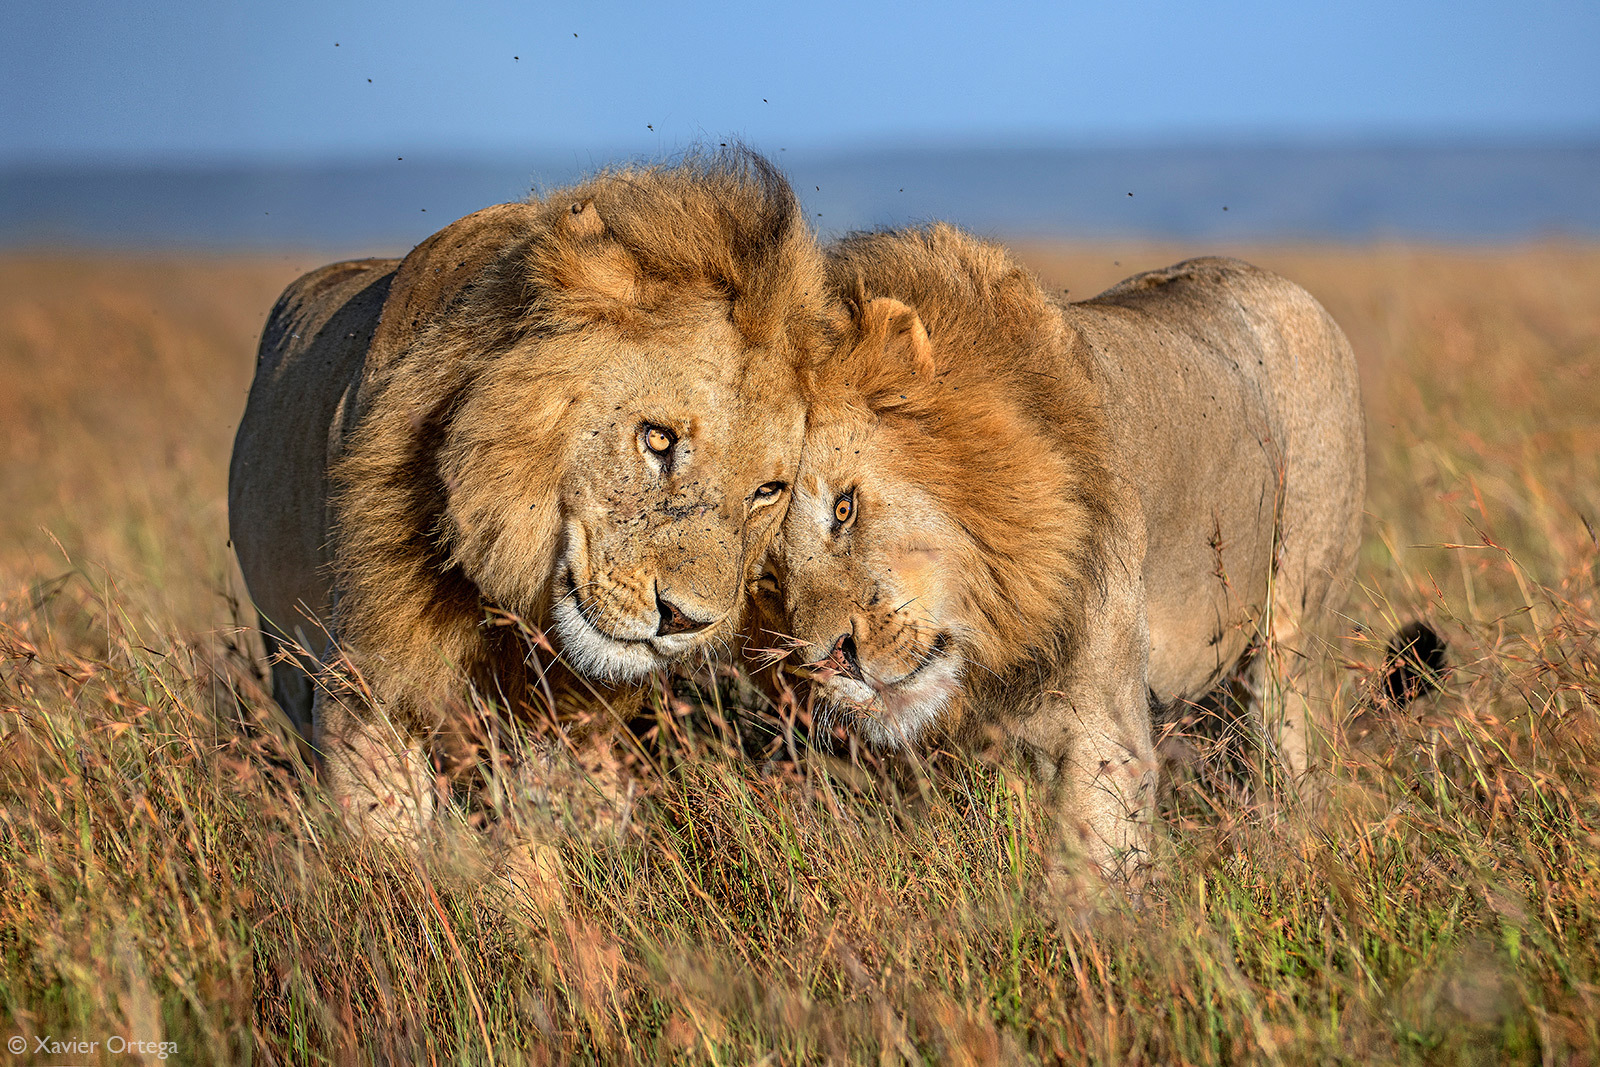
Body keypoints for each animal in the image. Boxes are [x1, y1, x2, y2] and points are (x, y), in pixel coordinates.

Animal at [232, 150, 832, 844]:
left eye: (767, 491)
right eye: (658, 438)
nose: (686, 621)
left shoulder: (571, 721)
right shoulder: (366, 673)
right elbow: (387, 835)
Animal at [748, 227, 1363, 883]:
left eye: (844, 509)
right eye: (767, 579)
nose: (831, 661)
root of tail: (1284, 284)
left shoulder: (1103, 733)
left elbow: (1087, 873)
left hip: (1292, 633)